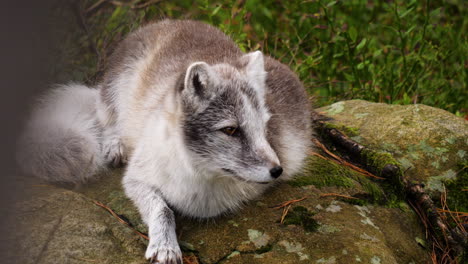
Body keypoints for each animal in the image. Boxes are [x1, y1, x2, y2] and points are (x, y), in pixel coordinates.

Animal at [17, 20, 310, 264]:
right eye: (230, 130)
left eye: (265, 125)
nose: (277, 170)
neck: (199, 171)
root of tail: (174, 22)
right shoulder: (136, 177)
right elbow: (162, 209)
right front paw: (165, 246)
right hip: (116, 85)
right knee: (107, 117)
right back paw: (115, 144)